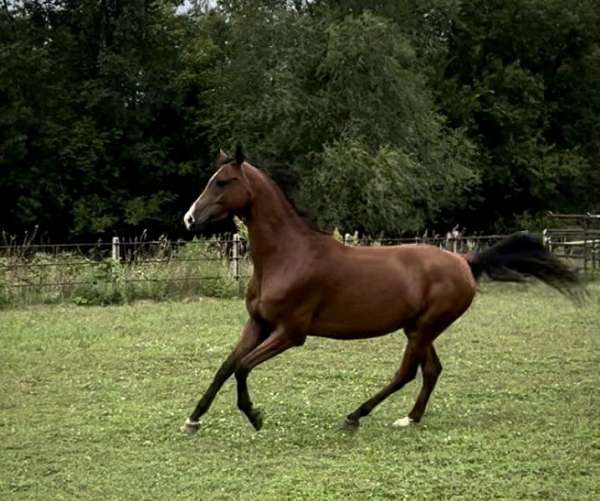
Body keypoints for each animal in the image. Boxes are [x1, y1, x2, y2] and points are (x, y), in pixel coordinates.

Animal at [180, 146, 584, 434]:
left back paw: (355, 416)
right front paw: (193, 419)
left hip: (424, 328)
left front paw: (254, 416)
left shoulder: (290, 333)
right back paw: (410, 418)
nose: (189, 218)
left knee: (406, 373)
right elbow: (226, 366)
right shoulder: (258, 324)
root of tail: (465, 262)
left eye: (222, 182)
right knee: (431, 370)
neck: (288, 256)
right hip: (418, 328)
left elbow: (242, 367)